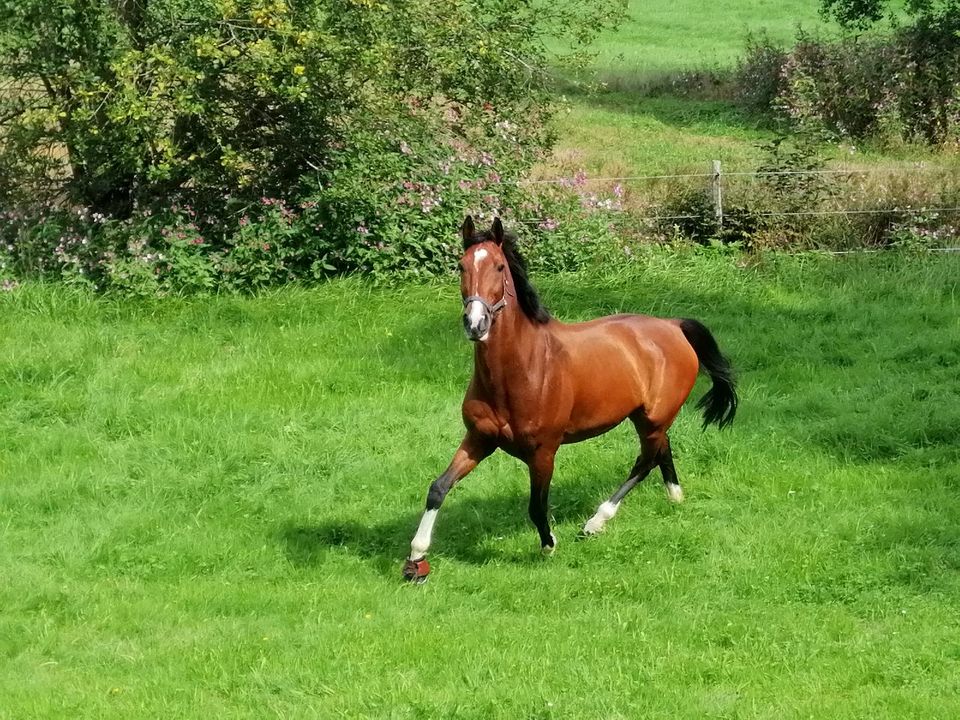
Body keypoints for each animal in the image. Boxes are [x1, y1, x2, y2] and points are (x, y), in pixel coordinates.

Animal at [402, 217, 740, 584]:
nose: (475, 324)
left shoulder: (544, 452)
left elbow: (537, 505)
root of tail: (673, 326)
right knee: (662, 450)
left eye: (499, 266)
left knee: (646, 460)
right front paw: (416, 558)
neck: (524, 369)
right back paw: (675, 497)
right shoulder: (479, 439)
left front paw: (549, 544)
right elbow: (438, 488)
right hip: (647, 418)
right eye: (461, 265)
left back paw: (595, 522)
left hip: (653, 419)